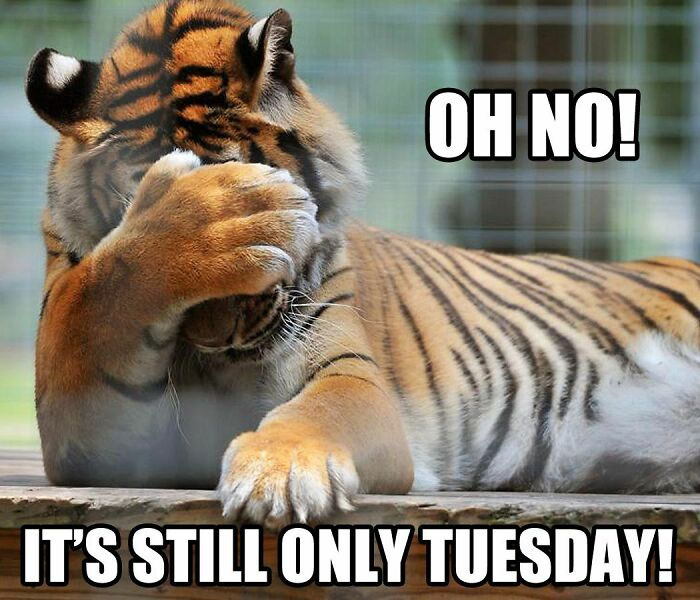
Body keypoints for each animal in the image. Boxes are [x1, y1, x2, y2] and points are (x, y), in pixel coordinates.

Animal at [26, 0, 700, 528]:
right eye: (131, 207)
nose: (220, 339)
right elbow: (95, 302)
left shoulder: (348, 373)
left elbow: (314, 412)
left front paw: (277, 474)